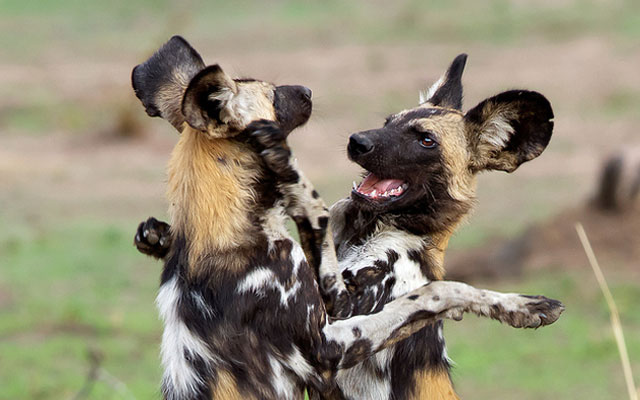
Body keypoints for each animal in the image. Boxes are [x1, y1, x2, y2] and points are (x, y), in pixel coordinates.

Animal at [132, 37, 564, 400]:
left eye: (425, 140)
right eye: (388, 122)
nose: (358, 141)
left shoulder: (337, 326)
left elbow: (438, 288)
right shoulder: (333, 335)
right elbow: (441, 289)